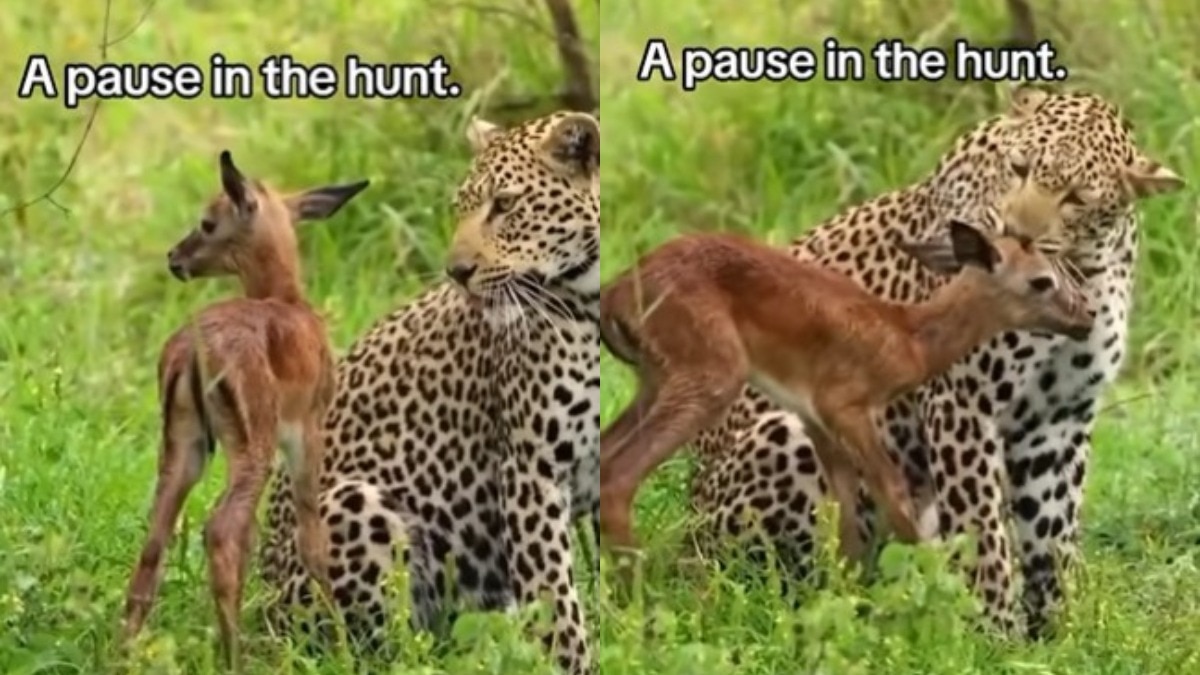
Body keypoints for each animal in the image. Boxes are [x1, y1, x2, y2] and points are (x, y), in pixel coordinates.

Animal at [120, 150, 369, 669]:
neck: (287, 303)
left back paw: (124, 654)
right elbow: (312, 540)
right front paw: (341, 649)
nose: (175, 258)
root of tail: (190, 353)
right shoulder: (306, 434)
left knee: (156, 539)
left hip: (185, 449)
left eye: (207, 221)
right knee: (219, 529)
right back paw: (236, 655)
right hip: (252, 450)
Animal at [257, 110, 600, 674]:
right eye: (460, 208)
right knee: (378, 652)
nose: (456, 273)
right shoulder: (531, 472)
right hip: (353, 507)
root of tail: (257, 618)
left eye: (505, 205)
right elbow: (556, 598)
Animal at [598, 219, 1094, 565]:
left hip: (655, 380)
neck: (908, 338)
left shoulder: (817, 421)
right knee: (619, 477)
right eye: (1041, 280)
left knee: (600, 456)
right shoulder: (846, 407)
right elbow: (894, 496)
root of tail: (615, 292)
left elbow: (845, 516)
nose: (1085, 316)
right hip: (712, 378)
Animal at [688, 85, 1183, 638]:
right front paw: (995, 635)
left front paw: (1060, 632)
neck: (1087, 268)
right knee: (789, 583)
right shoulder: (962, 402)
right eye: (1019, 168)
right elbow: (983, 528)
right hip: (792, 432)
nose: (1015, 232)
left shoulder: (1060, 417)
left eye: (1076, 198)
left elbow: (1052, 533)